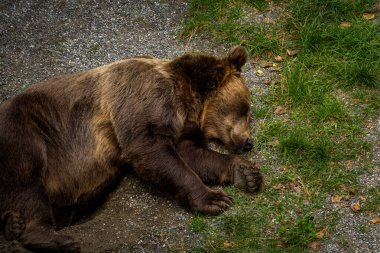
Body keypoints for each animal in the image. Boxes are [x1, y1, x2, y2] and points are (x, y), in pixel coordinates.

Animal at [0, 46, 262, 252]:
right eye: (245, 108)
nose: (249, 141)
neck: (185, 101)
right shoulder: (142, 97)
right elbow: (150, 150)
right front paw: (215, 199)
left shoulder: (179, 129)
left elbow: (193, 155)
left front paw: (247, 174)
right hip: (26, 129)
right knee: (27, 178)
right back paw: (54, 238)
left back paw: (13, 224)